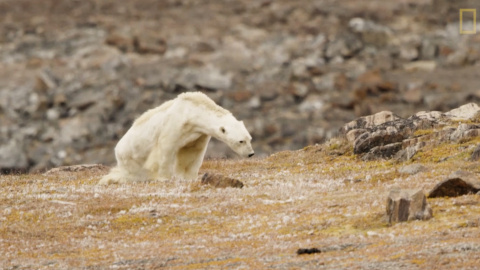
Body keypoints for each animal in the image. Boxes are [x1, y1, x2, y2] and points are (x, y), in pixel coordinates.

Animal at [98, 92, 255, 185]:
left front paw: (189, 177)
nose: (251, 154)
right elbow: (166, 148)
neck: (193, 111)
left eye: (250, 138)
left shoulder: (198, 133)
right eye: (241, 141)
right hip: (131, 160)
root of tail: (117, 149)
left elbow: (192, 152)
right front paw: (165, 177)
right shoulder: (175, 124)